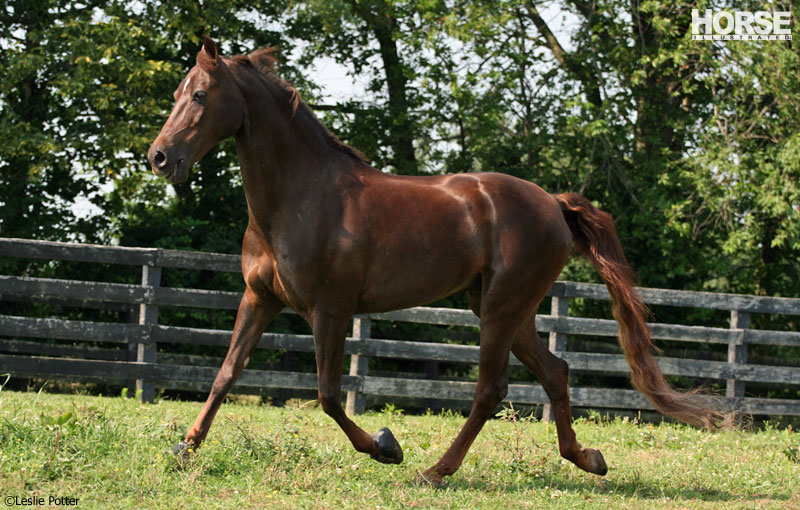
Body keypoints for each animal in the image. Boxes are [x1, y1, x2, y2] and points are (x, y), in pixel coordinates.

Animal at [147, 36, 724, 485]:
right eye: (176, 93)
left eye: (200, 95)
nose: (159, 157)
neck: (302, 196)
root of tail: (554, 204)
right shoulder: (260, 299)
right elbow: (225, 375)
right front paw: (184, 450)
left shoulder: (330, 310)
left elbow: (329, 394)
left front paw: (386, 446)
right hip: (503, 308)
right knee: (556, 373)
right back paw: (588, 458)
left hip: (501, 309)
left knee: (491, 390)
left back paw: (435, 471)